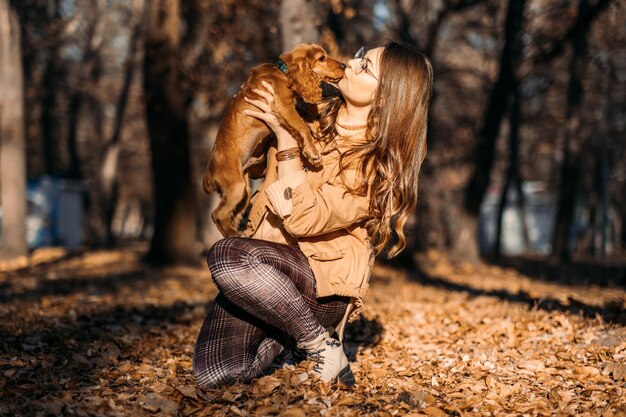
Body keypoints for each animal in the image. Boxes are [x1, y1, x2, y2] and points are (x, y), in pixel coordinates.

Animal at [201, 44, 344, 237]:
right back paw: (234, 234)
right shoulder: (282, 105)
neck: (281, 71)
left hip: (244, 190)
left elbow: (303, 115)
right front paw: (312, 152)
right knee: (217, 214)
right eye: (322, 58)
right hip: (236, 187)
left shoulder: (286, 106)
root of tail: (209, 172)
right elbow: (301, 123)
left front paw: (316, 128)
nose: (344, 66)